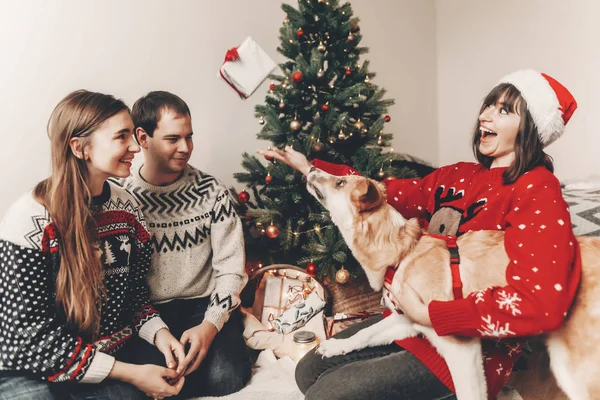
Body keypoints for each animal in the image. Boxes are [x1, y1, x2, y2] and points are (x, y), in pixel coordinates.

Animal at [308, 169, 600, 400]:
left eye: (341, 182)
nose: (310, 167)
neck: (403, 253)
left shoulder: (461, 349)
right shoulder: (406, 320)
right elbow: (365, 334)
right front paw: (336, 346)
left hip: (573, 370)